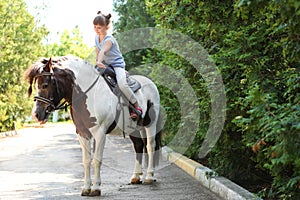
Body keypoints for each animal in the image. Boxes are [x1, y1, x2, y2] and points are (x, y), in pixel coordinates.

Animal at [24, 55, 162, 197]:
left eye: (45, 85)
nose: (36, 115)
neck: (89, 95)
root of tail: (151, 84)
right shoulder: (82, 133)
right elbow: (86, 160)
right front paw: (86, 188)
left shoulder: (99, 133)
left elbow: (97, 160)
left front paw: (96, 188)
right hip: (133, 129)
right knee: (139, 146)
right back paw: (136, 177)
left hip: (150, 124)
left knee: (150, 146)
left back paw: (149, 177)